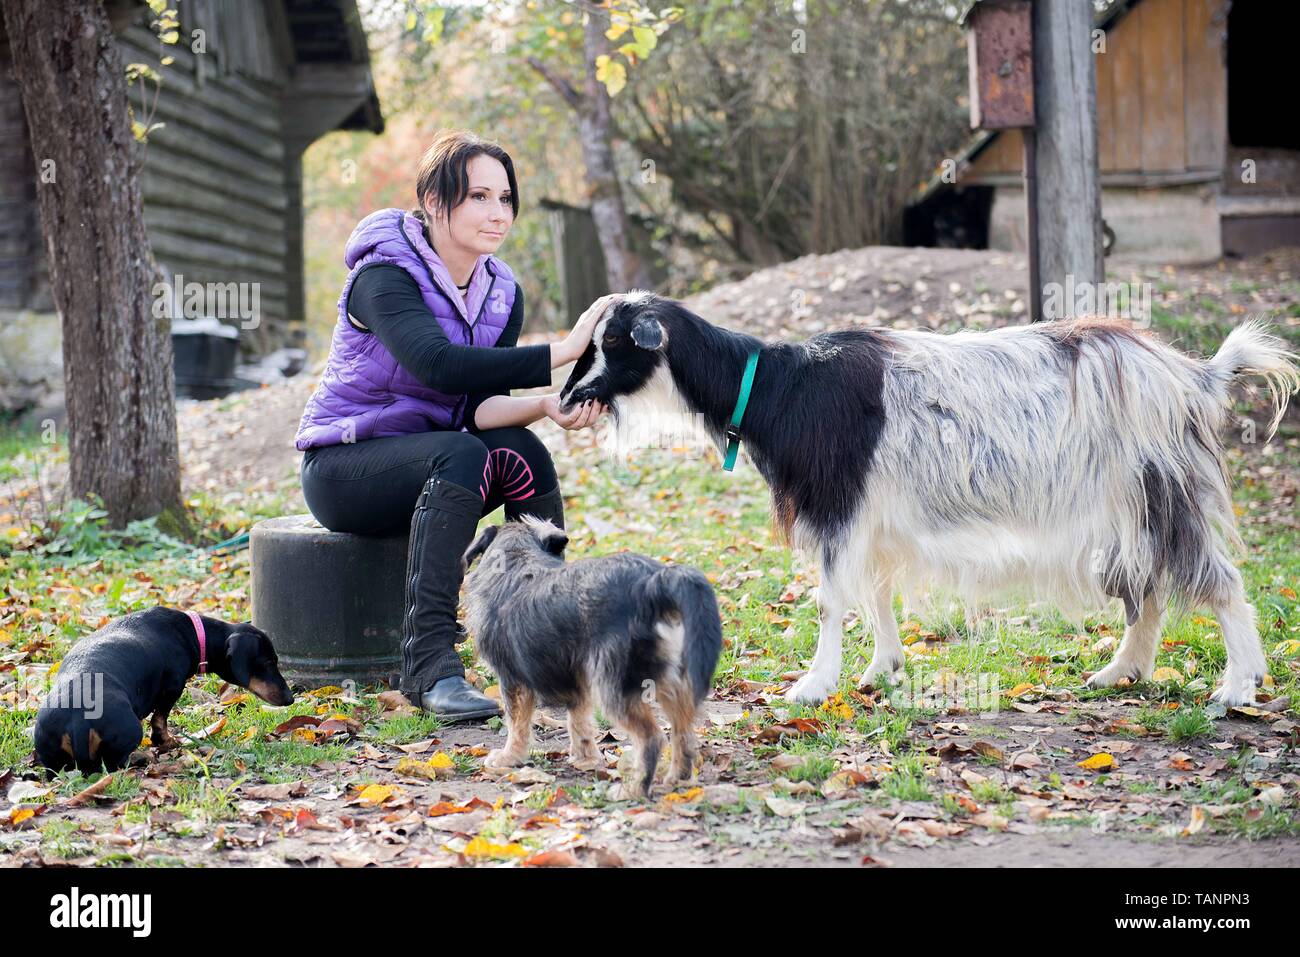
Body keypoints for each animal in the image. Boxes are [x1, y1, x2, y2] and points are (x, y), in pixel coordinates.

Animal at [559, 293, 1300, 712]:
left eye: (614, 341)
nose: (569, 396)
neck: (779, 386)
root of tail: (1195, 375)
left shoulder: (839, 504)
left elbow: (831, 599)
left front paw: (812, 686)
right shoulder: (870, 517)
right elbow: (876, 591)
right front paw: (880, 669)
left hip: (1161, 488)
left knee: (1219, 580)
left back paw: (1238, 686)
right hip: (1128, 506)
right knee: (1145, 588)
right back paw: (1121, 673)